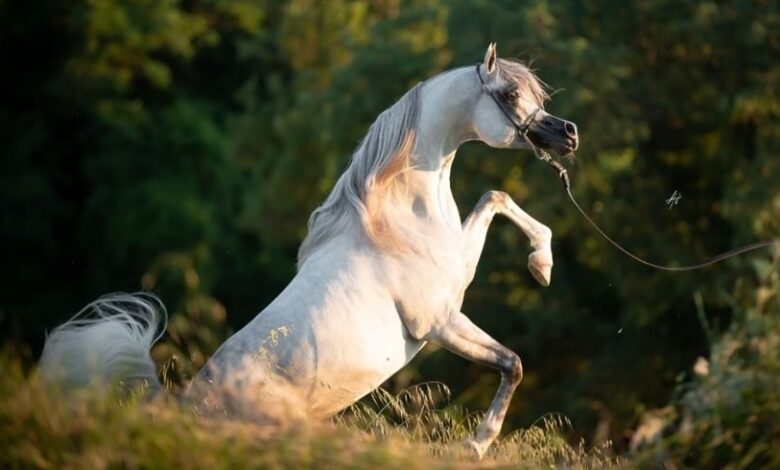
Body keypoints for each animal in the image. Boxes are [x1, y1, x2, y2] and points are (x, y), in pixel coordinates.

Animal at [42, 43, 580, 456]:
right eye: (510, 93)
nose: (568, 134)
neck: (395, 217)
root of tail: (185, 404)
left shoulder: (459, 273)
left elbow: (495, 197)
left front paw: (542, 266)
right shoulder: (441, 322)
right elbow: (513, 363)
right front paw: (476, 445)